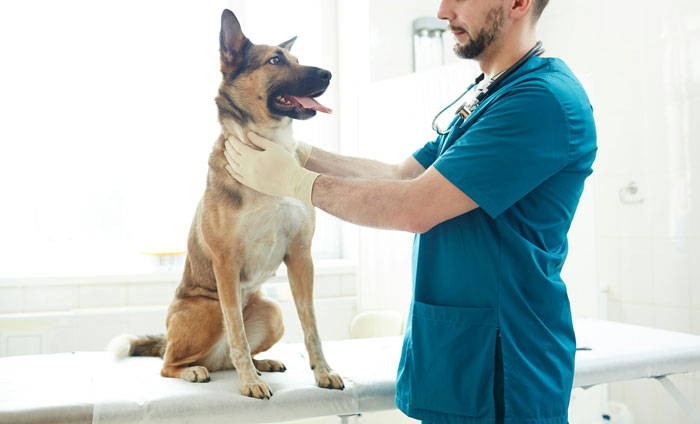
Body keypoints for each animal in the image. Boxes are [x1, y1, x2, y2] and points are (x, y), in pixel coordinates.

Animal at [107, 8, 344, 400]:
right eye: (276, 60)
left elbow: (311, 326)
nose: (327, 74)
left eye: (295, 58)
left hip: (271, 311)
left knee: (227, 356)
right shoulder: (225, 264)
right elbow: (237, 333)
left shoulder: (301, 256)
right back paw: (196, 370)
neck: (269, 147)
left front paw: (323, 372)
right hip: (209, 308)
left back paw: (261, 363)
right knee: (170, 363)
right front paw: (250, 383)